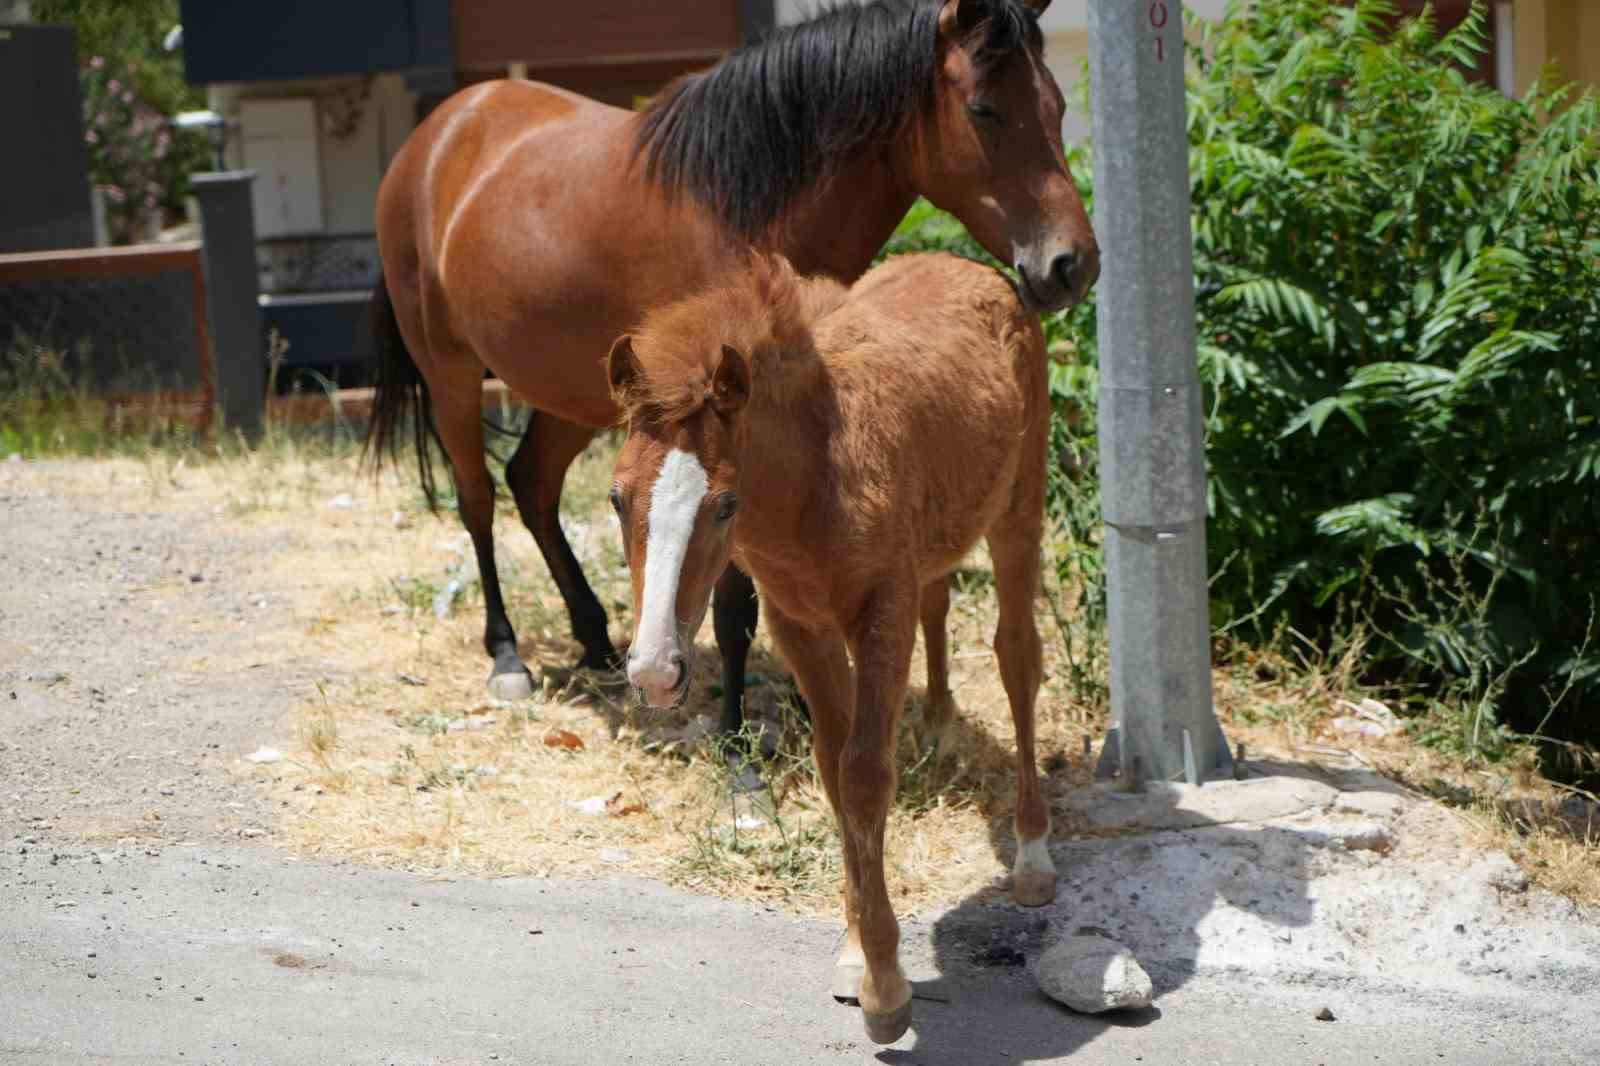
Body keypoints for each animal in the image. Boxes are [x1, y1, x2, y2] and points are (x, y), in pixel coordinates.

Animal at [604, 252, 1056, 1043]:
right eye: (616, 498)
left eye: (724, 504)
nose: (656, 673)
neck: (814, 480)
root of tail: (973, 265)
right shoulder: (799, 624)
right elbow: (833, 773)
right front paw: (855, 954)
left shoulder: (881, 610)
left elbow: (866, 773)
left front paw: (886, 990)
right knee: (943, 599)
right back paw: (939, 728)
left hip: (1018, 512)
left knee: (1017, 659)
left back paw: (1032, 855)